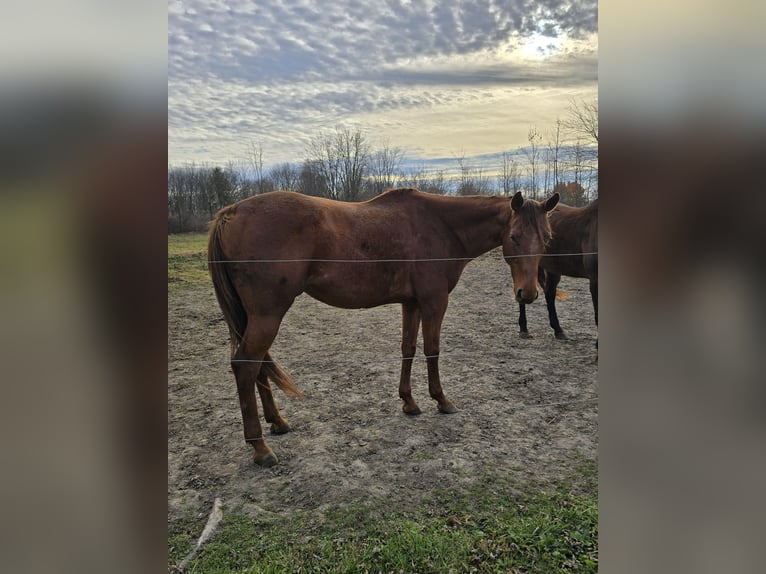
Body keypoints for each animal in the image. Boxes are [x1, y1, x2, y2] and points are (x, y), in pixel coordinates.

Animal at [208, 189, 560, 468]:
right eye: (514, 237)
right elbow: (432, 350)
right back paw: (260, 447)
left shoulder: (412, 303)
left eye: (547, 239)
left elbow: (408, 348)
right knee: (246, 365)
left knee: (258, 366)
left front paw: (409, 402)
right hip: (268, 315)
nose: (527, 294)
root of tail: (230, 212)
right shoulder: (434, 302)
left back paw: (278, 422)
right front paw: (441, 400)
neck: (441, 226)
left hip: (256, 317)